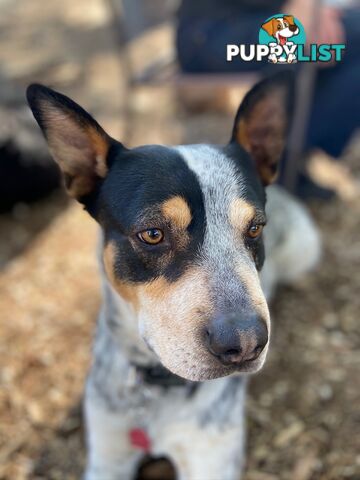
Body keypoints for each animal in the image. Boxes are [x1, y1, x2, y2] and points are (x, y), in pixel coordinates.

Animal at [27, 73, 320, 478]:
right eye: (152, 234)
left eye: (255, 228)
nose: (246, 342)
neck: (158, 390)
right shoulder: (107, 455)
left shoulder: (212, 461)